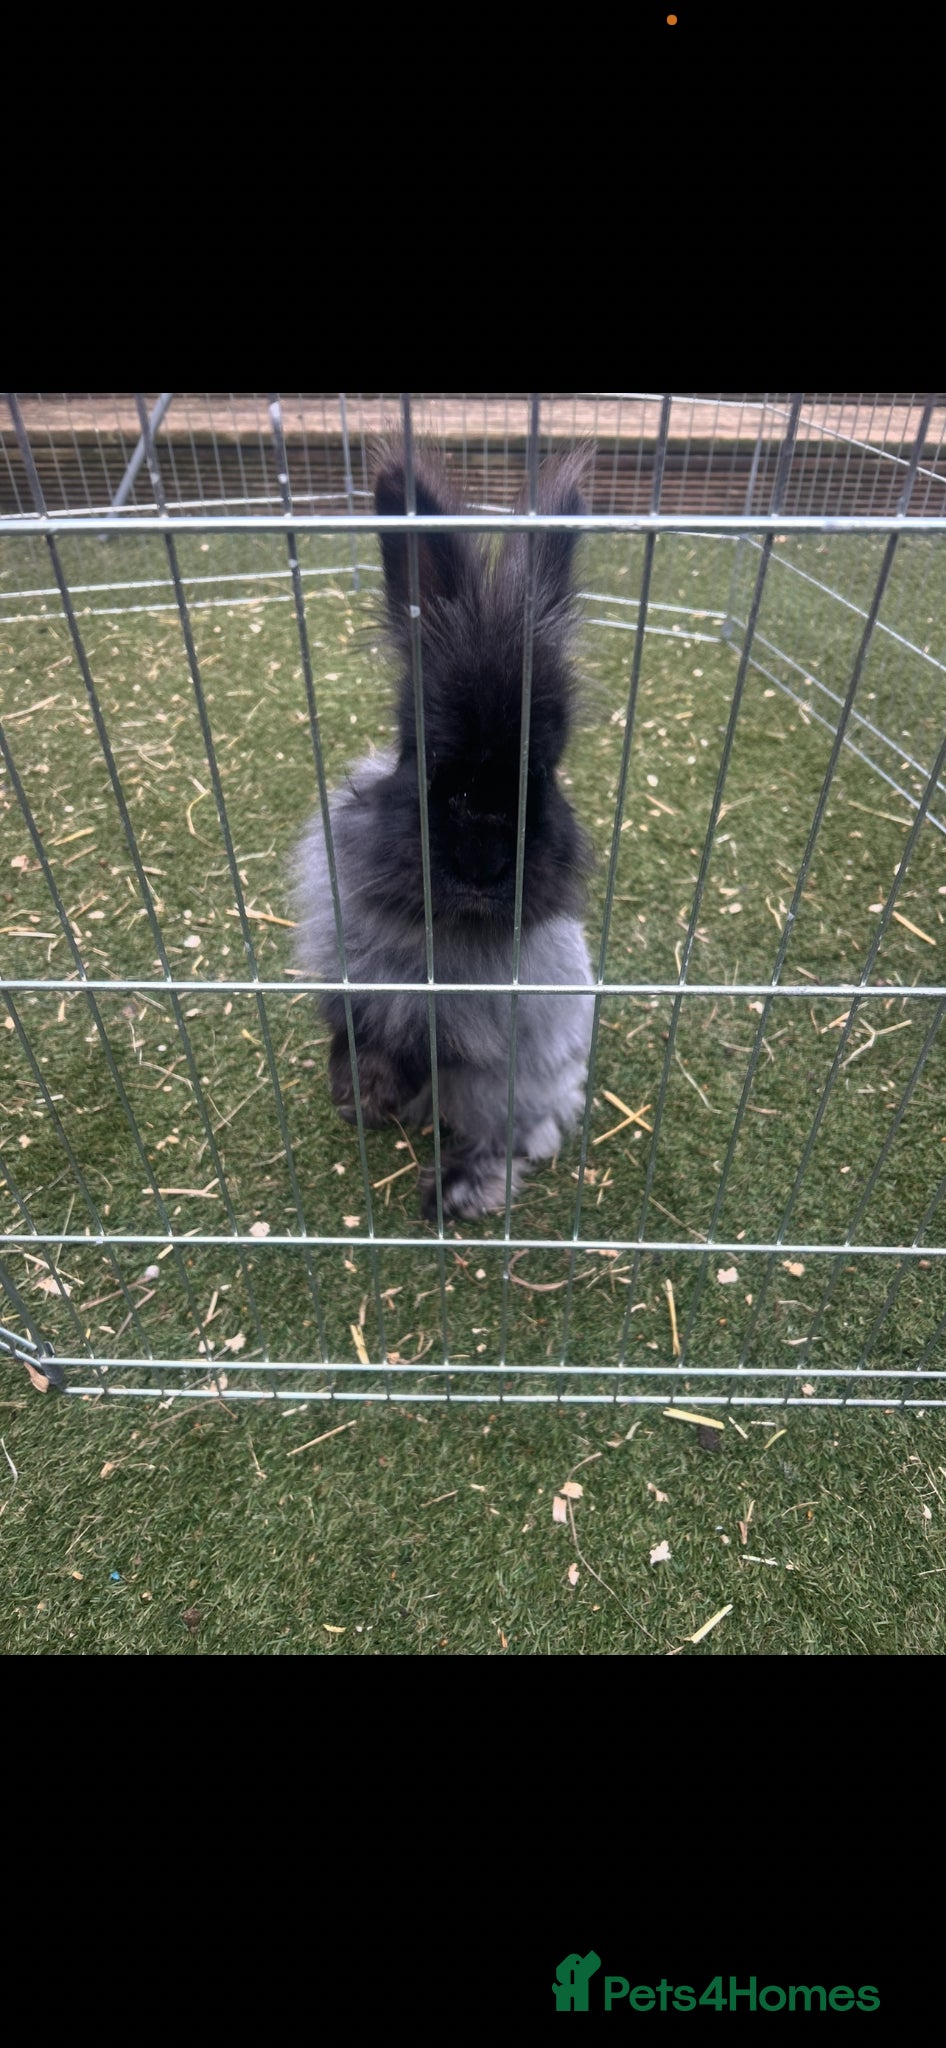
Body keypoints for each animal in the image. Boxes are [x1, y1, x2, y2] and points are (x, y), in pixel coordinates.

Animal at [291, 442, 595, 1220]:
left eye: (545, 768)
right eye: (426, 758)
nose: (484, 868)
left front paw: (375, 1105)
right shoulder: (360, 990)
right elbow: (356, 1037)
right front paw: (357, 1100)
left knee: (525, 1136)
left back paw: (454, 1192)